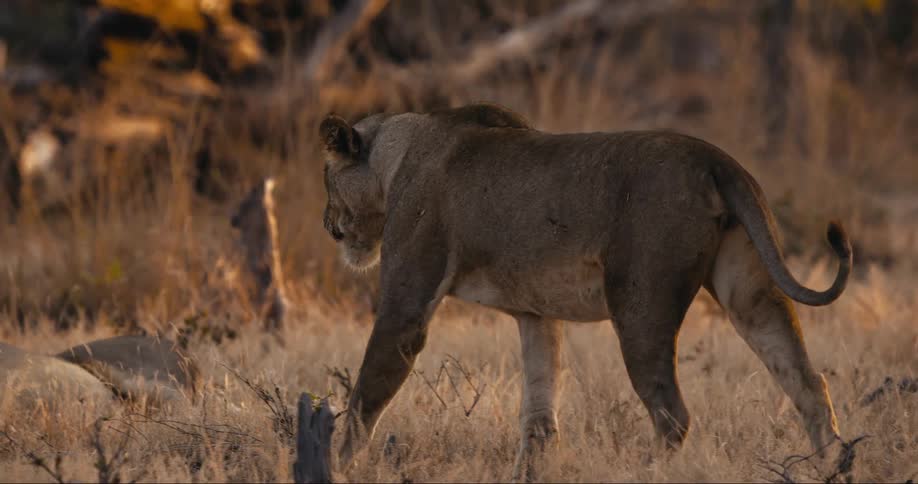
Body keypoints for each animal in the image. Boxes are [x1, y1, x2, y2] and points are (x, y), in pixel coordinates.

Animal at [319, 103, 851, 479]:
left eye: (326, 180)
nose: (327, 226)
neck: (399, 151)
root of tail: (716, 158)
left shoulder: (407, 302)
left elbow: (365, 397)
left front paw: (337, 469)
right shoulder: (535, 314)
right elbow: (538, 413)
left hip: (640, 304)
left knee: (673, 414)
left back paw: (644, 474)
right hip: (750, 291)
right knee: (809, 383)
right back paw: (834, 469)